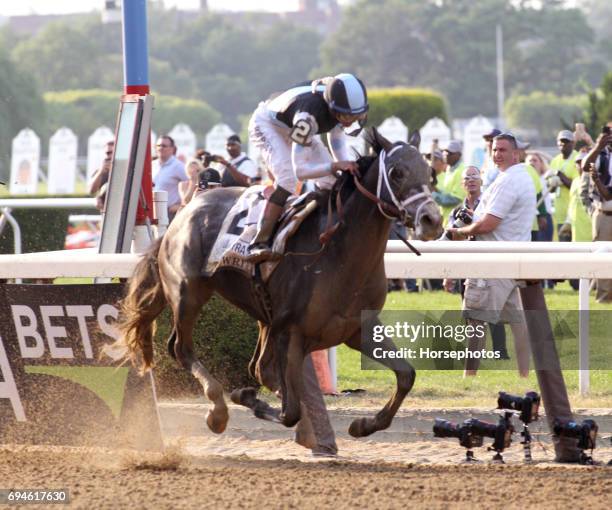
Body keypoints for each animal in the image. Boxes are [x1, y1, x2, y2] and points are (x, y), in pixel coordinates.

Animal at [116, 128, 440, 438]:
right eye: (397, 172)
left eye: (429, 171)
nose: (432, 220)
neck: (338, 254)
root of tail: (183, 212)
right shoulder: (293, 332)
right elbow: (290, 411)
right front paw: (250, 400)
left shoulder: (358, 328)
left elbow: (406, 375)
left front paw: (364, 425)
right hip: (188, 294)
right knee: (182, 349)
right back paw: (217, 410)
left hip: (263, 315)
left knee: (258, 367)